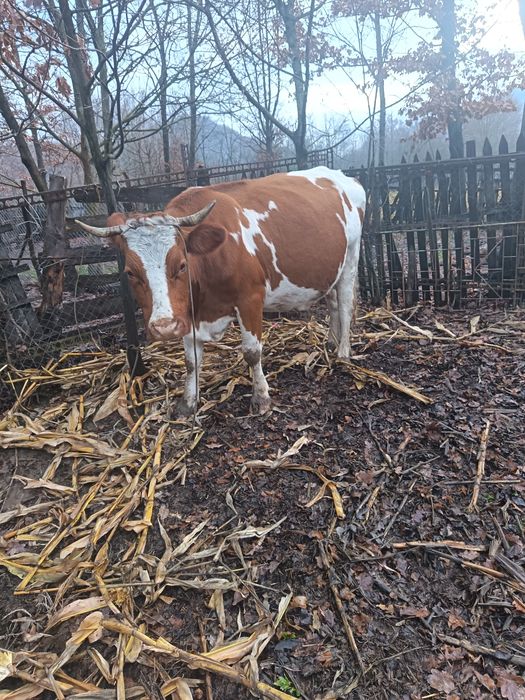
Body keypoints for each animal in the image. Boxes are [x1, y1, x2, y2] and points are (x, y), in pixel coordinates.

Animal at [77, 167, 365, 416]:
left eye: (181, 265)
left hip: (352, 255)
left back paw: (343, 353)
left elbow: (252, 352)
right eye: (130, 272)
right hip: (332, 267)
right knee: (333, 303)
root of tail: (343, 176)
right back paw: (331, 342)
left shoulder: (250, 299)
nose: (164, 327)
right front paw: (188, 403)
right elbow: (191, 360)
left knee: (346, 303)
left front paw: (261, 397)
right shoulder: (188, 311)